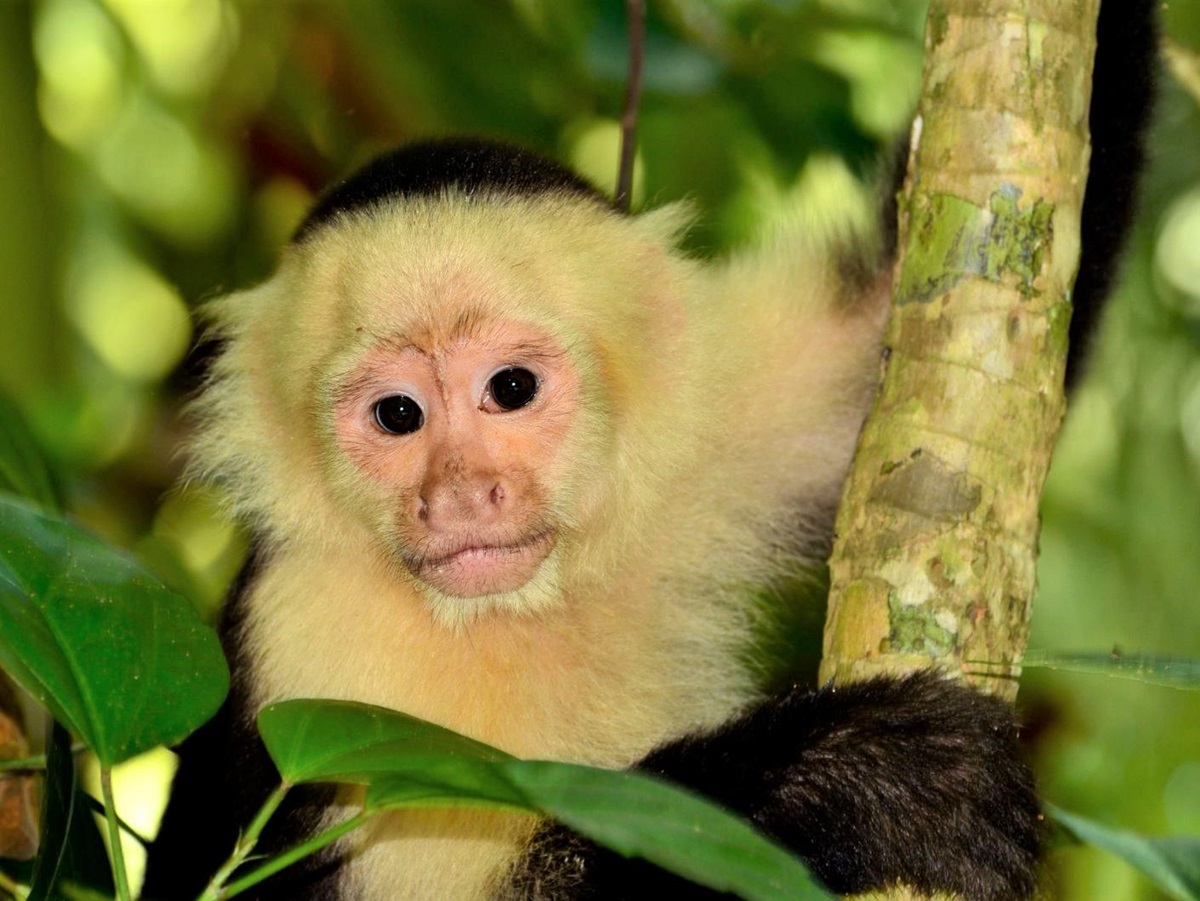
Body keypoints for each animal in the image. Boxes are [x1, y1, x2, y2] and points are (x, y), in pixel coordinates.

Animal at [146, 1, 1157, 898]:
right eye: (397, 415)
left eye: (510, 389)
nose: (461, 495)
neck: (521, 611)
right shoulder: (316, 648)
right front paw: (860, 773)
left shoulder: (721, 420)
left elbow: (896, 323)